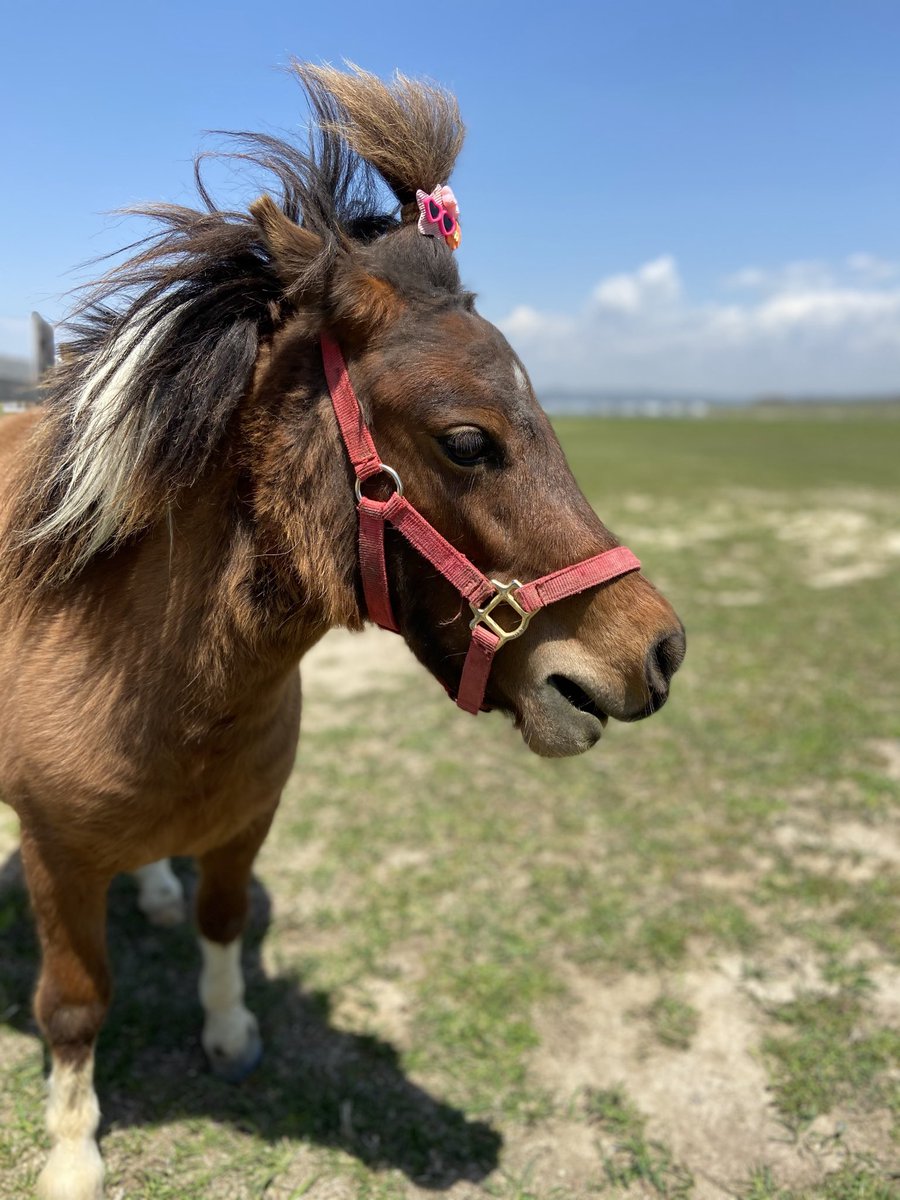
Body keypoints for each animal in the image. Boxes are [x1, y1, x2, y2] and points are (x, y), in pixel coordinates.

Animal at [0, 64, 685, 1199]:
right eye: (468, 440)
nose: (658, 651)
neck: (154, 684)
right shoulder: (59, 859)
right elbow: (73, 1005)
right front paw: (70, 1154)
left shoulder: (245, 825)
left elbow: (222, 924)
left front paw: (229, 1033)